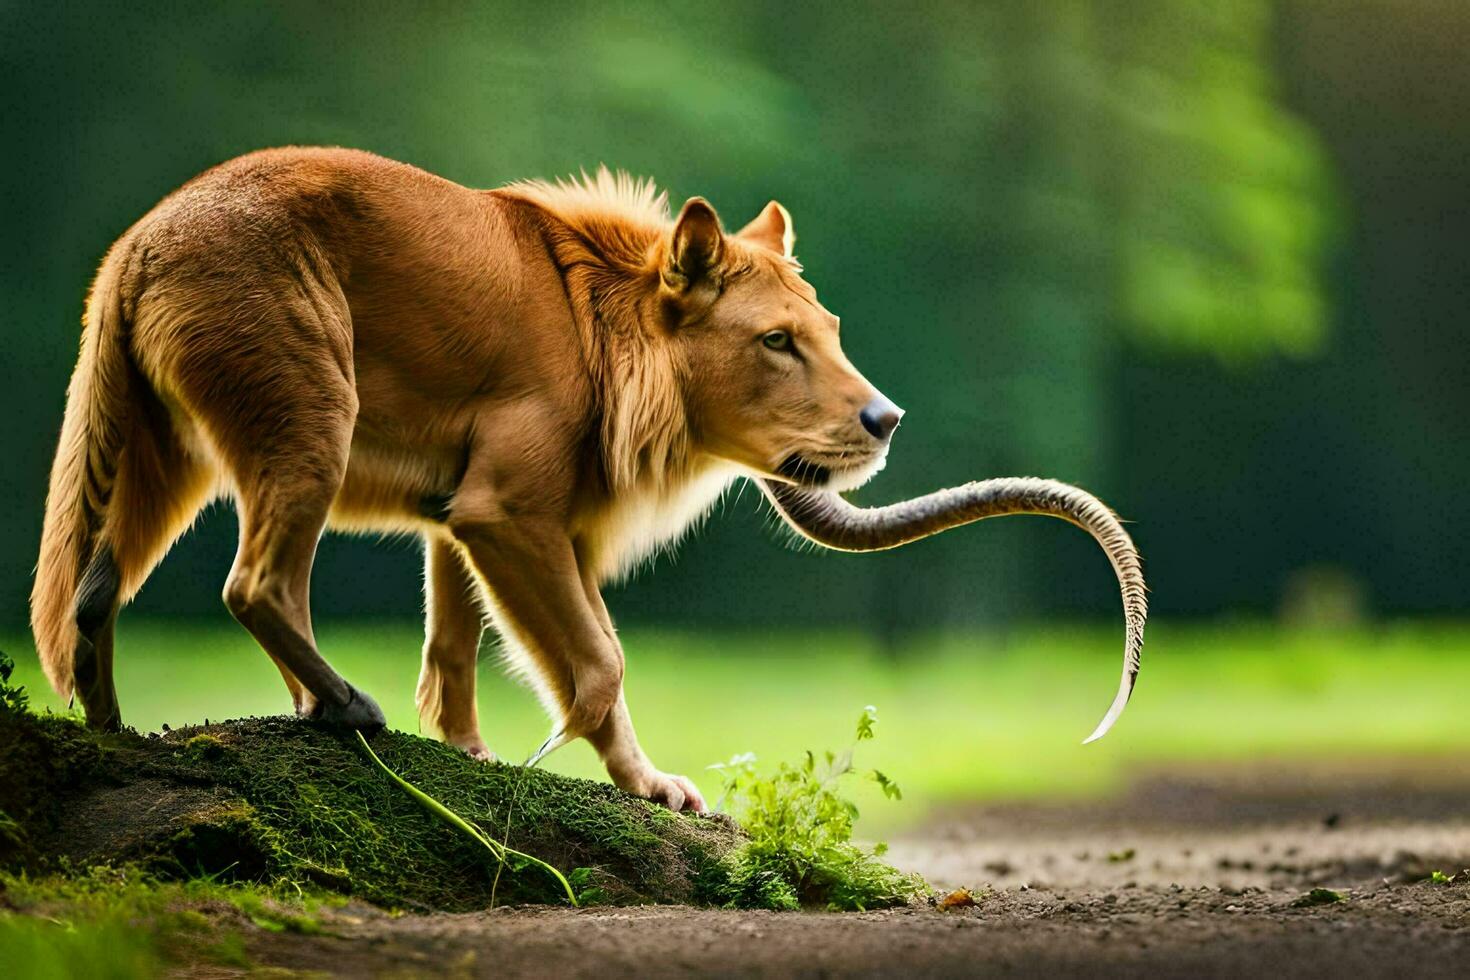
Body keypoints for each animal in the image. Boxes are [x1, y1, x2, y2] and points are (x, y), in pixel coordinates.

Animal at [28, 147, 1140, 811]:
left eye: (827, 330)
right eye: (777, 341)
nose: (884, 420)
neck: (609, 330)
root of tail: (137, 244)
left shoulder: (454, 516)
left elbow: (454, 655)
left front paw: (475, 761)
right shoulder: (507, 510)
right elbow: (598, 658)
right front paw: (633, 780)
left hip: (167, 458)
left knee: (92, 595)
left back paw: (117, 739)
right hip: (309, 420)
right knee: (255, 584)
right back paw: (341, 708)